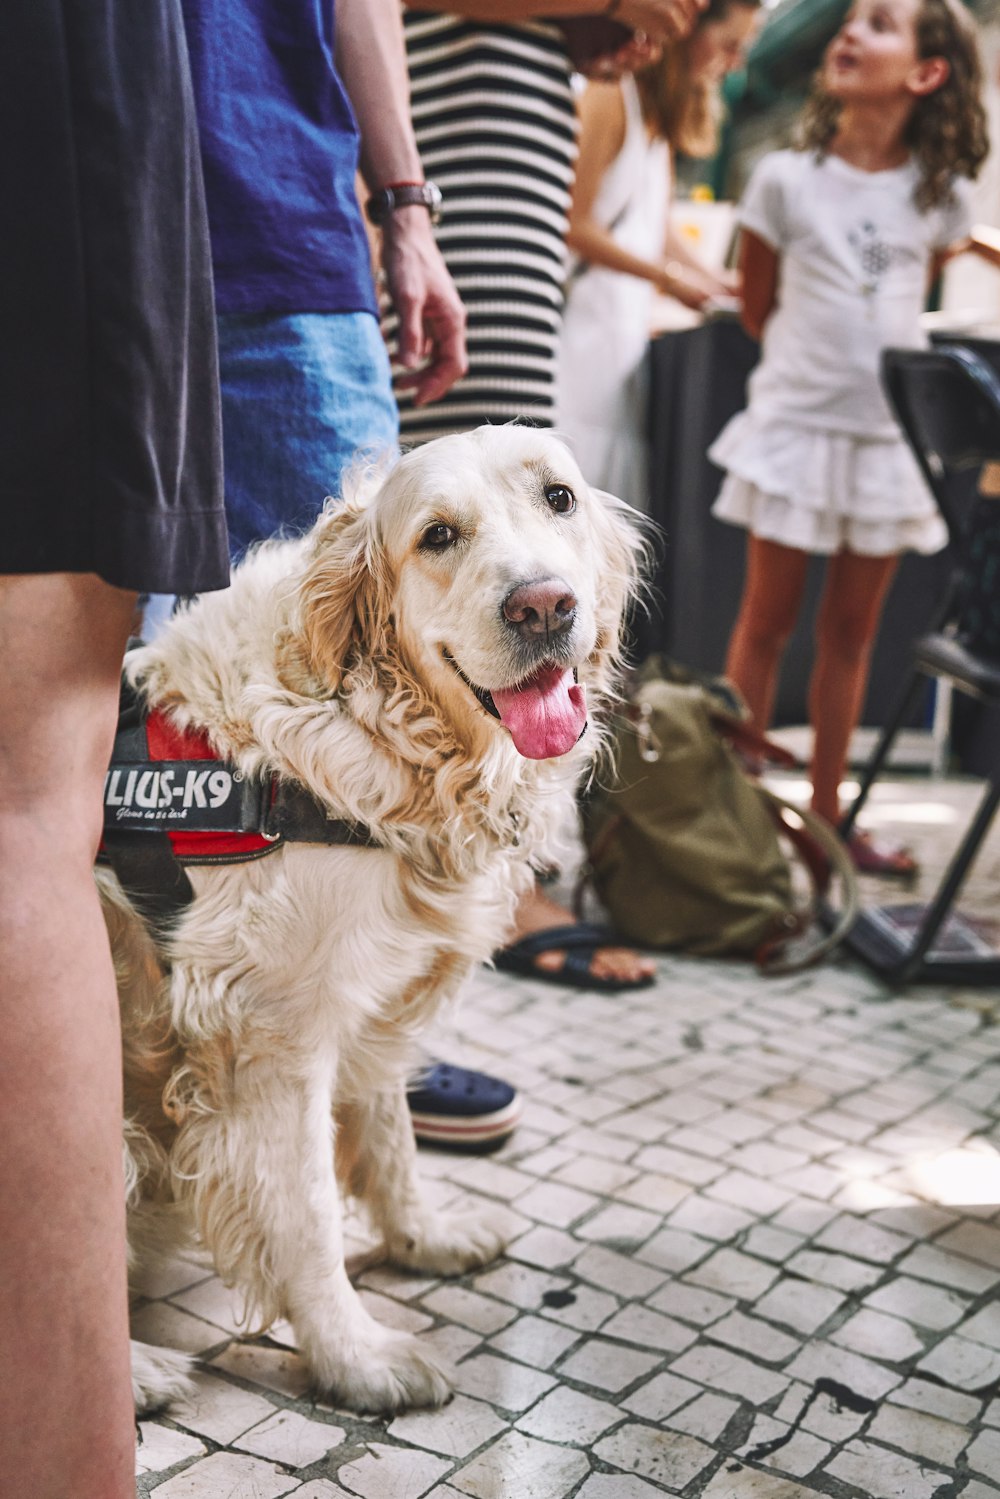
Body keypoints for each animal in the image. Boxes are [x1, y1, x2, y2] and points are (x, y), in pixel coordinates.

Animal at [109, 425, 641, 1415]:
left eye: (558, 497)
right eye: (437, 535)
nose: (544, 605)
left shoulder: (366, 996)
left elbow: (392, 1134)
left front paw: (422, 1235)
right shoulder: (267, 1034)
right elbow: (307, 1213)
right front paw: (355, 1357)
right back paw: (133, 1372)